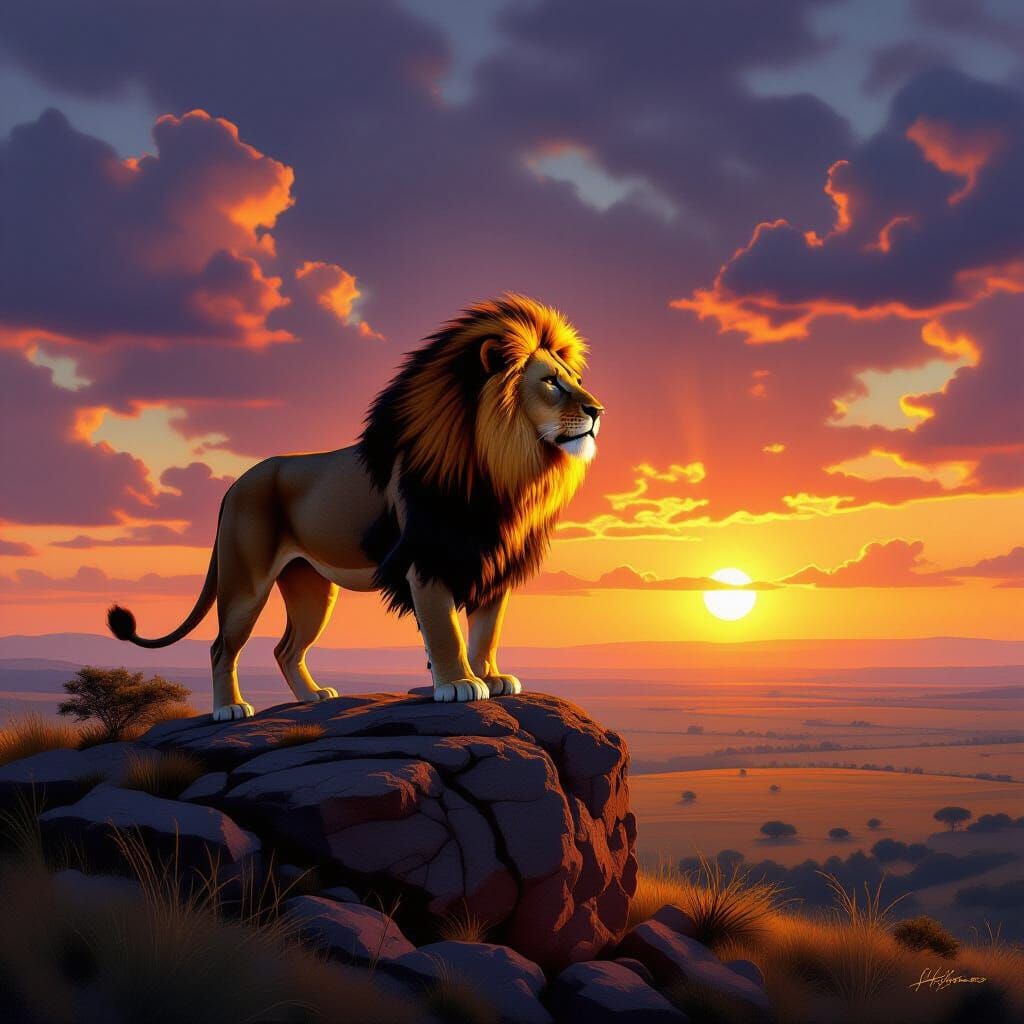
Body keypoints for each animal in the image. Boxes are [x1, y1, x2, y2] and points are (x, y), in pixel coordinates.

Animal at [107, 294, 604, 721]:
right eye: (550, 382)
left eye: (577, 381)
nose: (597, 410)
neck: (505, 467)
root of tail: (235, 484)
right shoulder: (426, 560)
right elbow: (445, 630)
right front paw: (459, 683)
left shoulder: (491, 560)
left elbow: (487, 630)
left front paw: (490, 676)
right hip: (245, 583)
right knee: (221, 647)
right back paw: (230, 709)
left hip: (310, 588)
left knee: (285, 648)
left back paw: (312, 696)